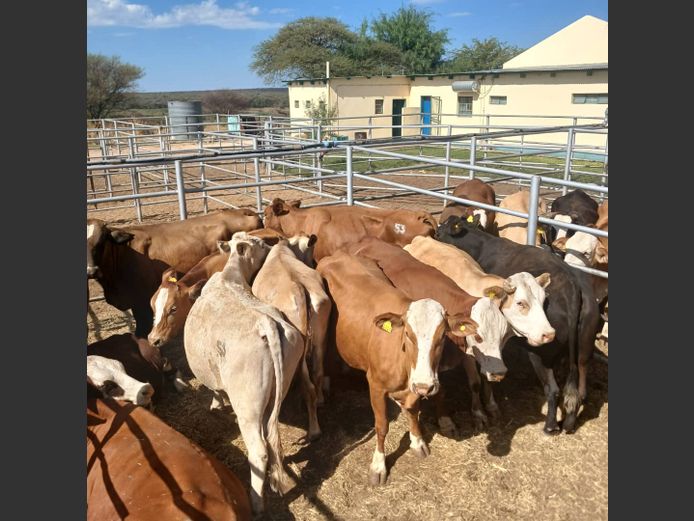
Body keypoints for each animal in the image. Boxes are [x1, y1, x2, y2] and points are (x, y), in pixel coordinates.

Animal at [183, 232, 304, 514]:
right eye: (259, 243)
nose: (271, 245)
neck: (230, 277)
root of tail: (266, 323)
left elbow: (215, 390)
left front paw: (216, 405)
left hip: (247, 405)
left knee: (258, 449)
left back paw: (257, 502)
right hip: (277, 389)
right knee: (271, 437)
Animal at [251, 237, 332, 439]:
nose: (313, 263)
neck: (282, 249)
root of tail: (299, 287)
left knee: (308, 386)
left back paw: (314, 430)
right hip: (321, 338)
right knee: (318, 373)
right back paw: (320, 400)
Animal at [317, 251, 476, 485]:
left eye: (442, 336)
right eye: (408, 334)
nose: (425, 385)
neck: (404, 364)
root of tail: (337, 255)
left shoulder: (414, 389)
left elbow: (413, 411)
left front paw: (417, 442)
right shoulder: (375, 386)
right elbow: (382, 425)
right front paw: (378, 465)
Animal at [436, 216, 600, 435]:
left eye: (442, 229)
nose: (434, 233)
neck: (482, 245)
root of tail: (573, 287)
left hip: (541, 354)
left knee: (553, 389)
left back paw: (550, 426)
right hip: (584, 351)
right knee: (579, 390)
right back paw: (569, 423)